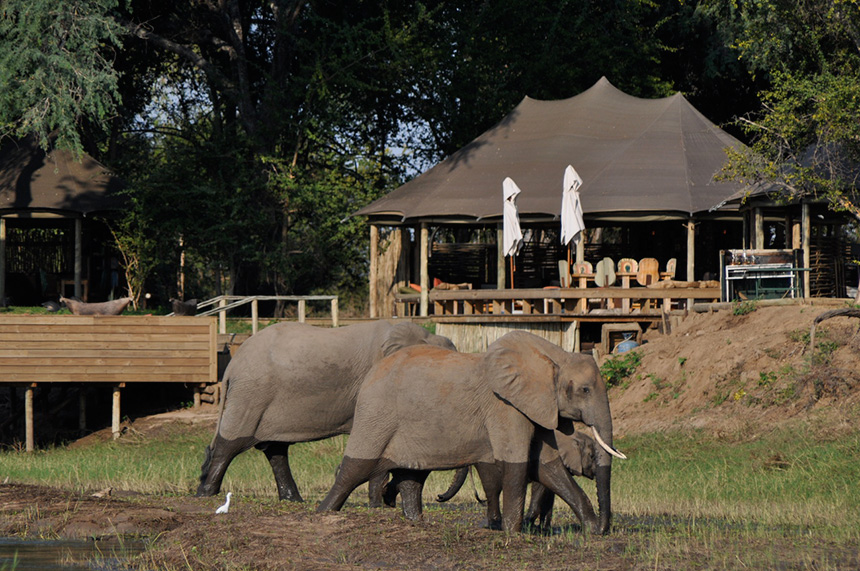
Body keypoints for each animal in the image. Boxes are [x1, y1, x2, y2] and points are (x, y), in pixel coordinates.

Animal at [197, 324, 456, 502]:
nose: (439, 497)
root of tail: (232, 365)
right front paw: (379, 505)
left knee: (275, 449)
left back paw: (293, 500)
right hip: (251, 393)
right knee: (231, 443)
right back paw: (206, 494)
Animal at [318, 328, 624, 536]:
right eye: (585, 390)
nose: (605, 527)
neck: (552, 356)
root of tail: (371, 374)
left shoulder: (536, 406)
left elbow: (547, 465)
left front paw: (591, 530)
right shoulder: (504, 406)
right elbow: (518, 462)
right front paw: (512, 533)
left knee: (411, 479)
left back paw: (416, 522)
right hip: (376, 414)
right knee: (354, 470)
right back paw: (323, 512)